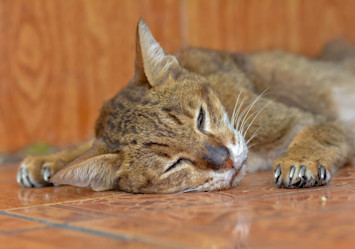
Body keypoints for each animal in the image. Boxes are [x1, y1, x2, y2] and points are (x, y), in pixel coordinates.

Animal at [17, 20, 355, 195]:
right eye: (173, 165)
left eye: (201, 118)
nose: (225, 159)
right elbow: (89, 144)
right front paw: (50, 160)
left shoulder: (310, 120)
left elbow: (317, 135)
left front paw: (301, 159)